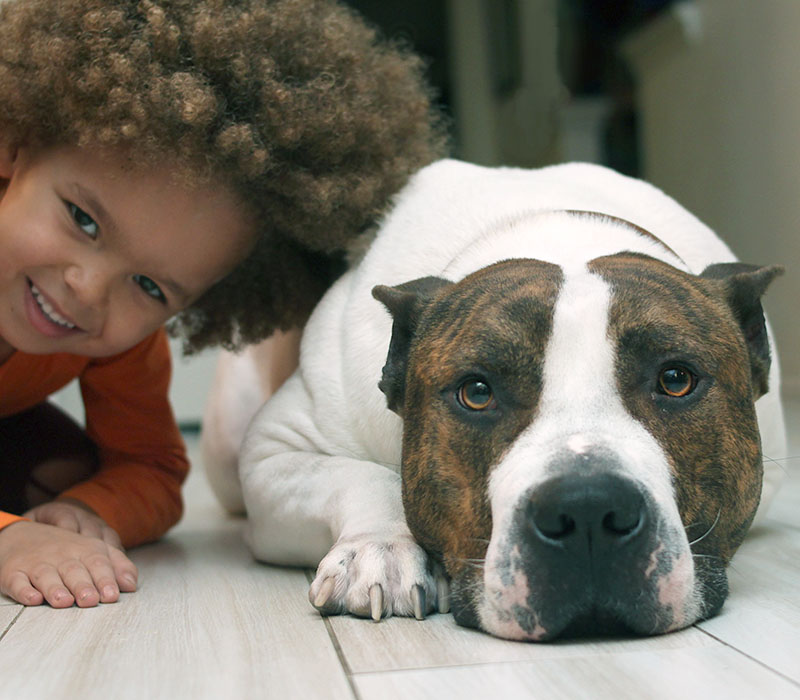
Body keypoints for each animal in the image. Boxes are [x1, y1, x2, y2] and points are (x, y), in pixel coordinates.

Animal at [205, 161, 788, 644]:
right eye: (477, 392)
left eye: (675, 379)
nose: (587, 508)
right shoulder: (272, 450)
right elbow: (361, 475)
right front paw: (380, 549)